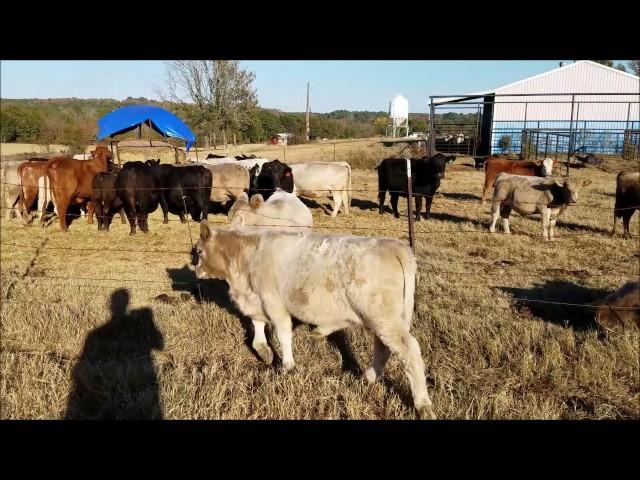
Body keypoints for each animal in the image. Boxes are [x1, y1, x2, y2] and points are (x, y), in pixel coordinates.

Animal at [192, 223, 438, 418]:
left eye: (199, 251)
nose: (195, 270)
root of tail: (395, 246)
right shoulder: (257, 301)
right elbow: (258, 324)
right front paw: (264, 350)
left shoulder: (273, 303)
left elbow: (283, 334)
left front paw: (288, 366)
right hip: (382, 320)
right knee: (383, 348)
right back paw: (368, 378)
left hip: (383, 318)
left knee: (408, 350)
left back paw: (423, 405)